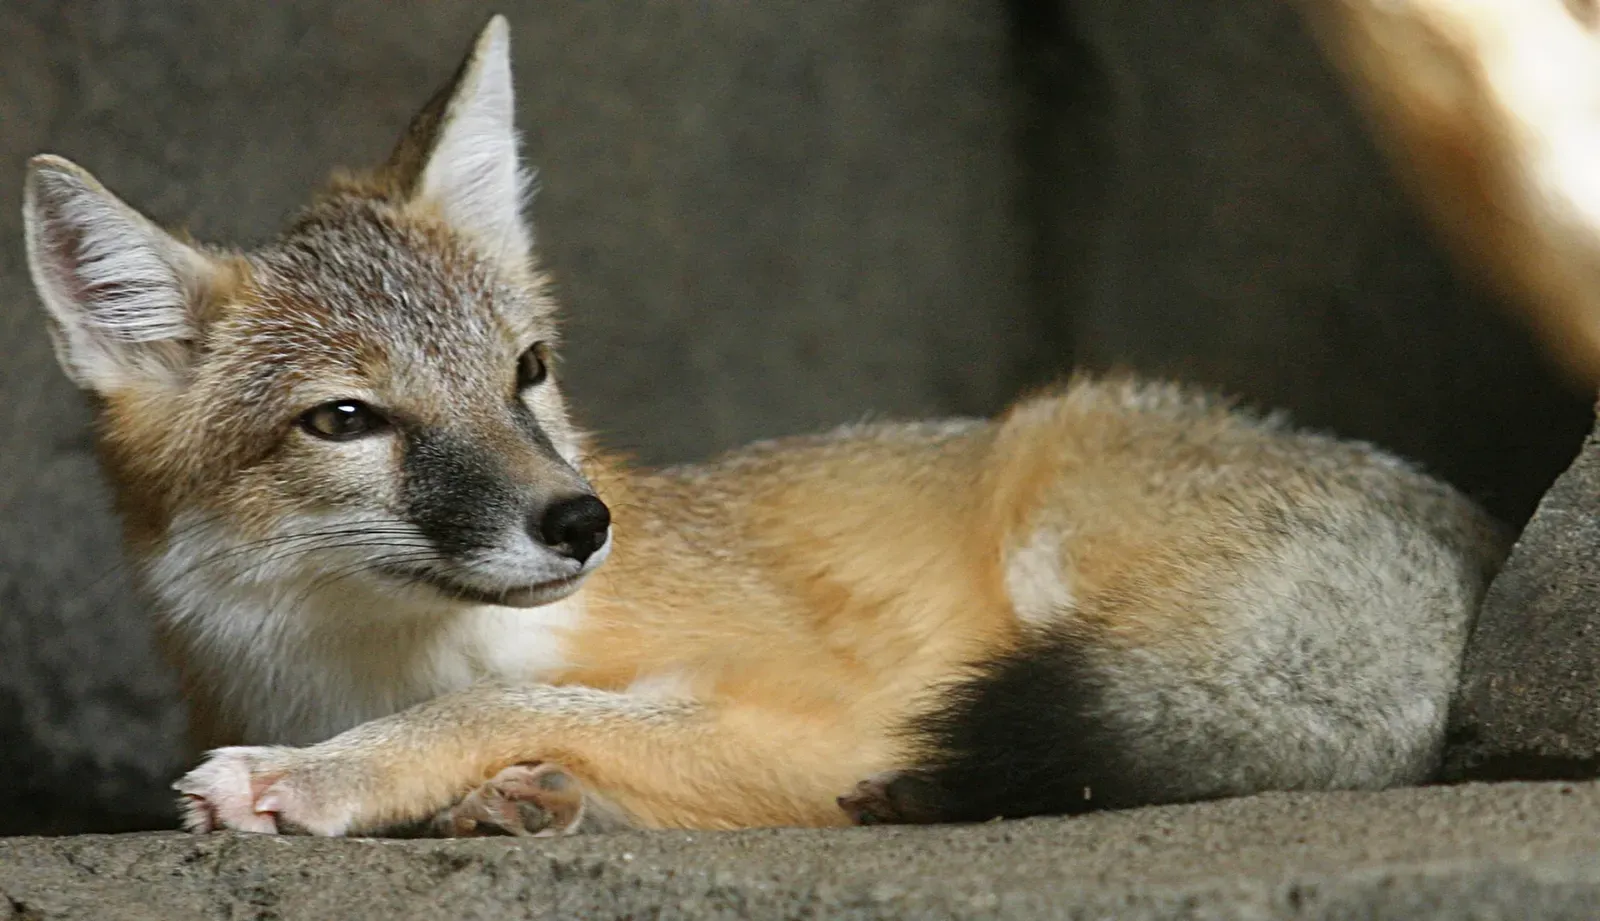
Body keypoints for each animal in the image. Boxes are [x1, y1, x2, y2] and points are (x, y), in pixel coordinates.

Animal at [22, 15, 1508, 837]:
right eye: (348, 419)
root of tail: (1472, 532)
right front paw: (521, 792)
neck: (362, 669)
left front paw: (331, 777)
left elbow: (513, 700)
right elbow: (546, 719)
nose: (582, 521)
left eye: (526, 371)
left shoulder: (826, 709)